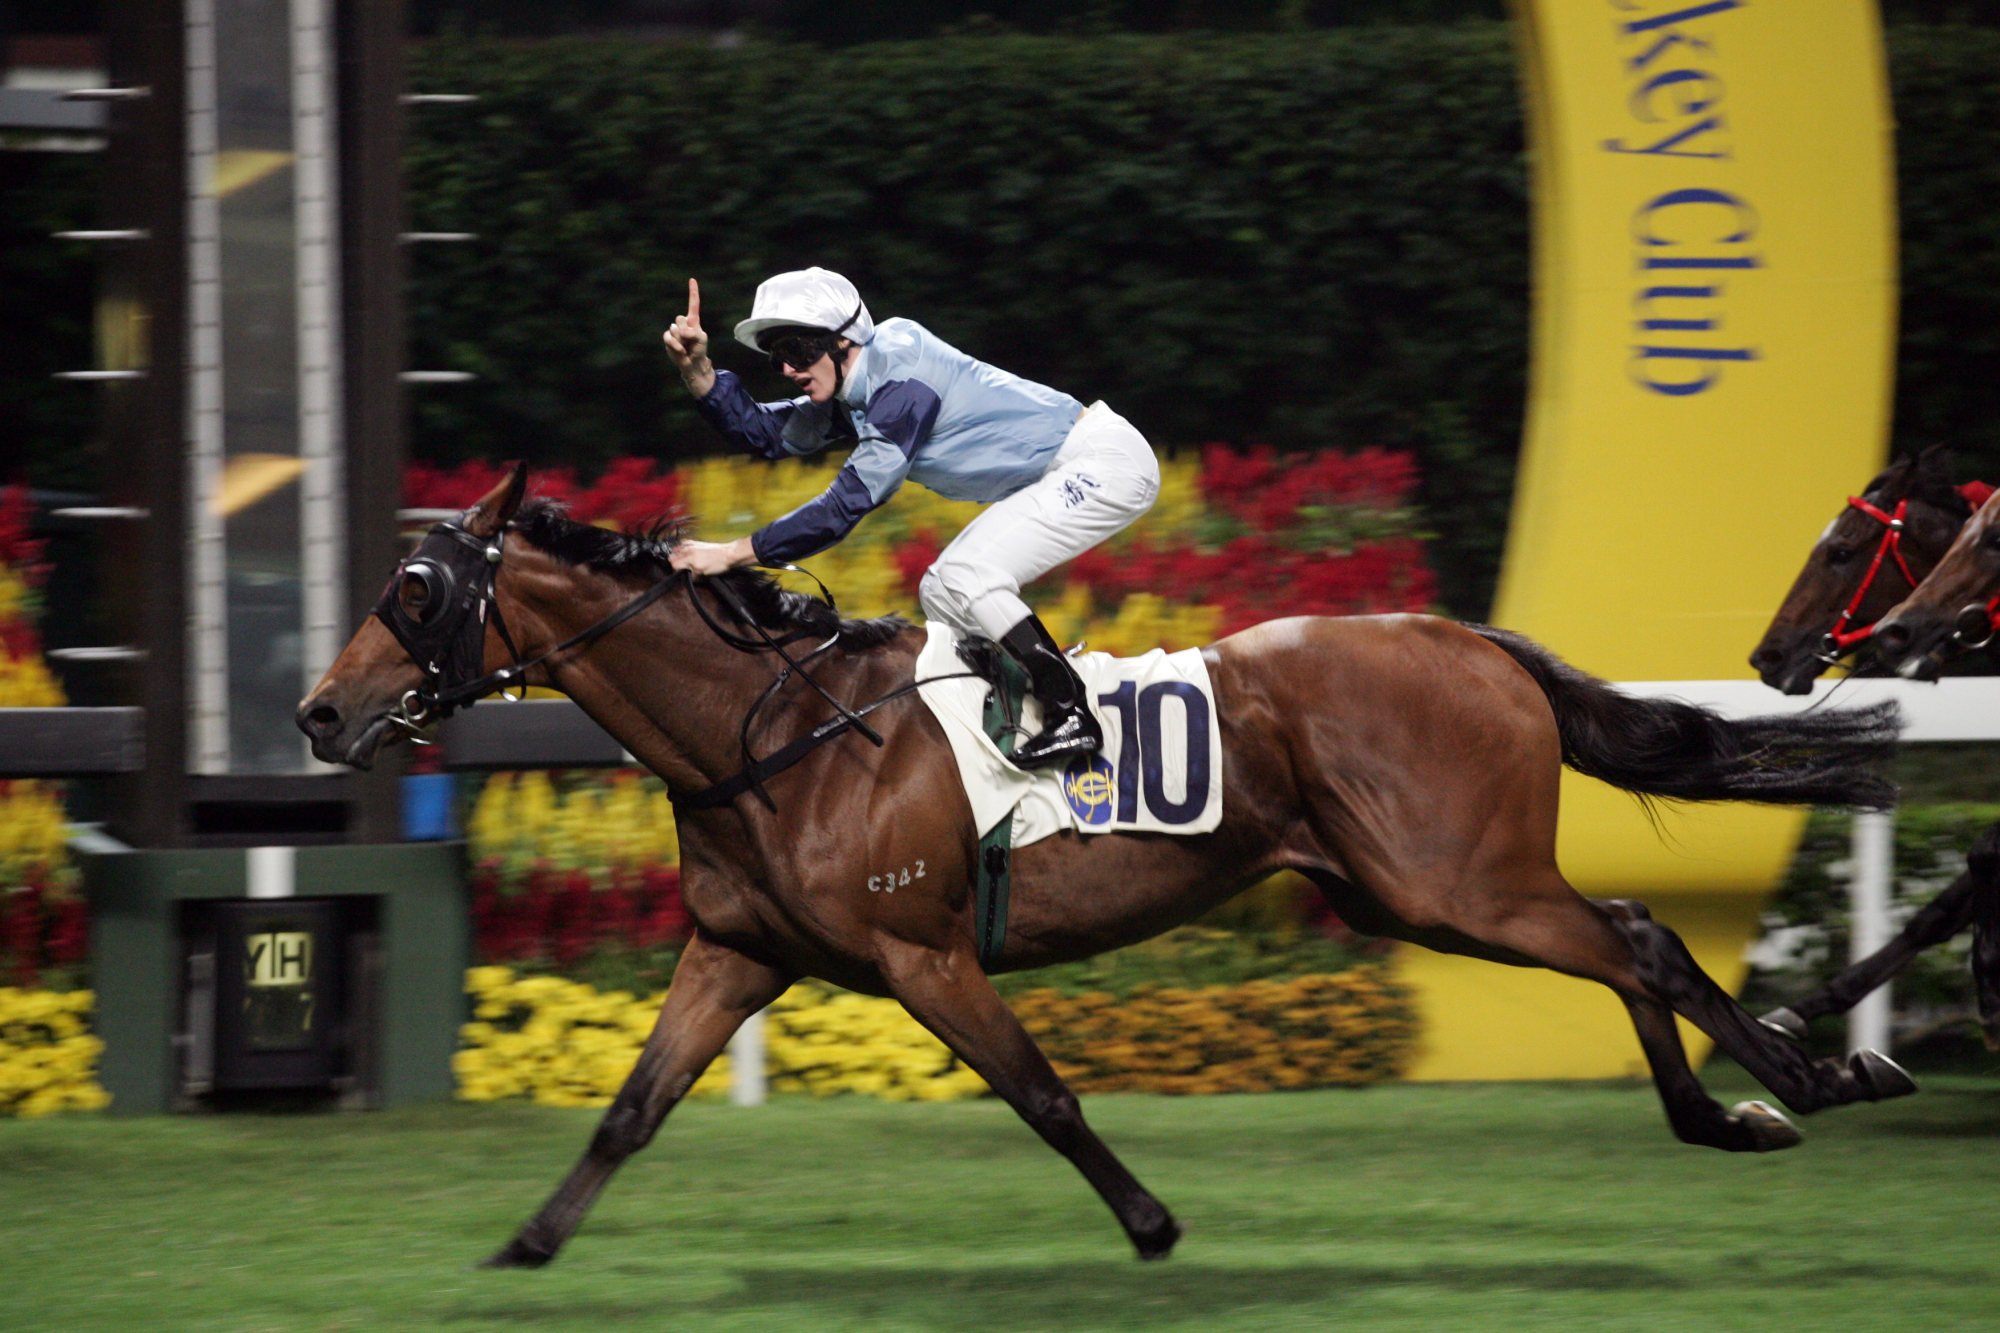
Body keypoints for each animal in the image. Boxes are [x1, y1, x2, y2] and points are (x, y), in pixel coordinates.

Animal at [296, 466, 1904, 1264]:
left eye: (417, 588)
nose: (319, 711)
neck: (776, 731)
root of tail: (1469, 639)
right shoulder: (739, 953)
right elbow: (632, 1110)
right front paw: (524, 1247)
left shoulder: (921, 952)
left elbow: (1044, 1094)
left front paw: (1151, 1223)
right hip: (1418, 888)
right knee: (1627, 931)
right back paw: (1729, 1111)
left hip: (1455, 881)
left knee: (1634, 938)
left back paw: (1803, 1077)